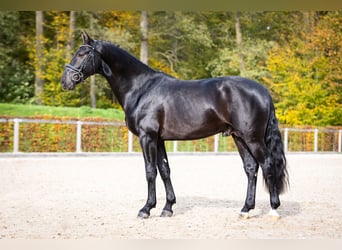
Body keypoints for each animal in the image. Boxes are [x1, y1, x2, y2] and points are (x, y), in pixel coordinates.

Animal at [62, 31, 288, 219]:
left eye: (82, 53)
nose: (65, 81)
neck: (141, 88)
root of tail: (263, 91)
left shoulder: (147, 137)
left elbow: (150, 171)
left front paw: (146, 209)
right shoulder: (159, 139)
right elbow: (164, 170)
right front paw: (167, 207)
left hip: (252, 138)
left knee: (267, 164)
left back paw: (274, 209)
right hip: (239, 137)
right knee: (251, 168)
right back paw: (245, 209)